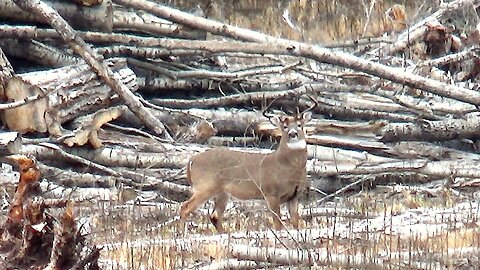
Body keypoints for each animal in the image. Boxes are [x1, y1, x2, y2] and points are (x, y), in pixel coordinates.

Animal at [180, 100, 316, 233]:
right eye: (285, 127)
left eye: (300, 125)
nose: (293, 134)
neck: (287, 167)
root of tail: (191, 160)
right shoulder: (270, 193)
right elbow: (278, 224)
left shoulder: (294, 196)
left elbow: (295, 222)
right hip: (206, 185)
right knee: (185, 207)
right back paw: (181, 233)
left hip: (222, 192)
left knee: (214, 216)